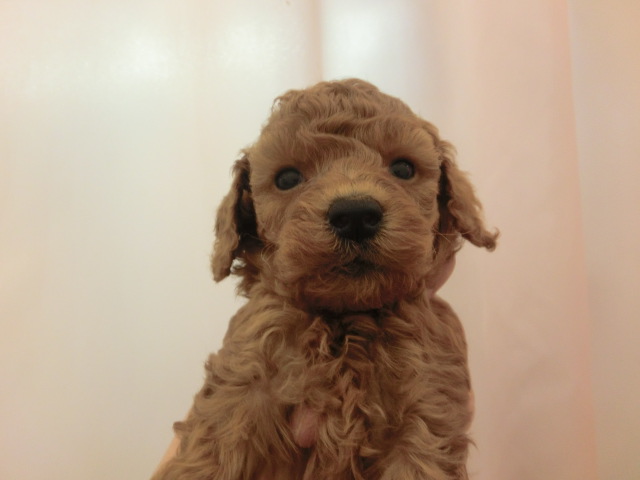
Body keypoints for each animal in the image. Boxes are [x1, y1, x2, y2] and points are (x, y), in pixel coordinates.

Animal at [153, 79, 497, 480]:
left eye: (403, 169)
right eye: (287, 178)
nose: (355, 215)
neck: (344, 317)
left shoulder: (426, 399)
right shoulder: (241, 386)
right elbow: (209, 454)